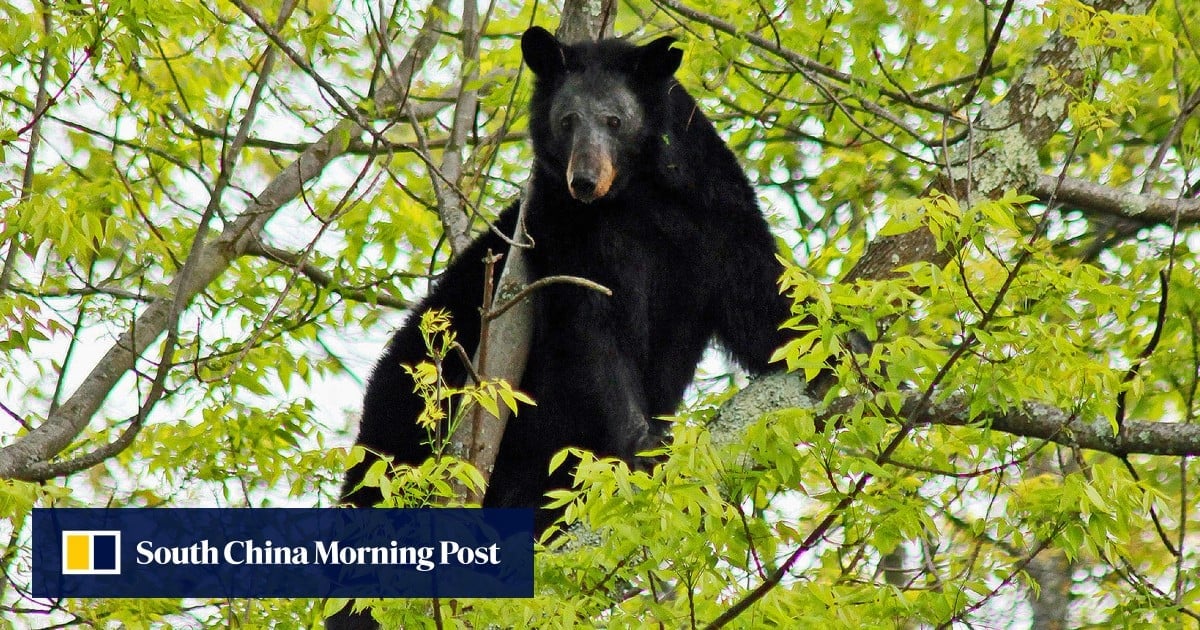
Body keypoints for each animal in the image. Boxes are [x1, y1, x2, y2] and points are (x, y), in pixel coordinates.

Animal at [333, 27, 792, 628]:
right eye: (566, 119)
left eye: (616, 120)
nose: (584, 180)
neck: (634, 197)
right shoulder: (563, 233)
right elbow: (595, 332)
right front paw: (643, 441)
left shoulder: (712, 209)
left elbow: (757, 293)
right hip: (408, 411)